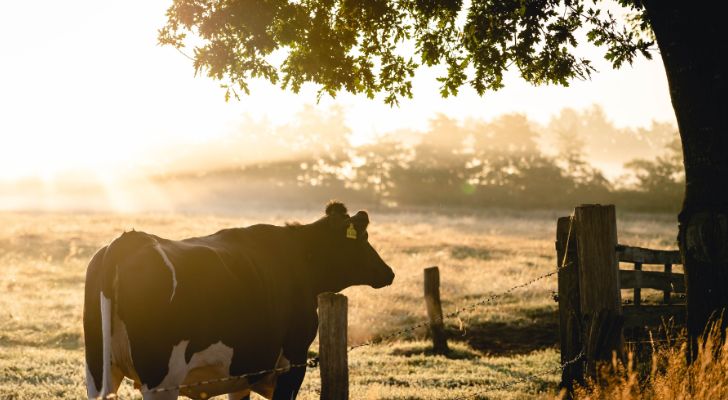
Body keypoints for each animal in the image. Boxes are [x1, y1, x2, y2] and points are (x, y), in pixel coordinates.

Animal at [82, 203, 396, 400]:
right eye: (363, 238)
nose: (388, 272)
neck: (299, 257)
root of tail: (128, 241)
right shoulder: (293, 361)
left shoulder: (243, 370)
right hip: (161, 380)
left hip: (98, 372)